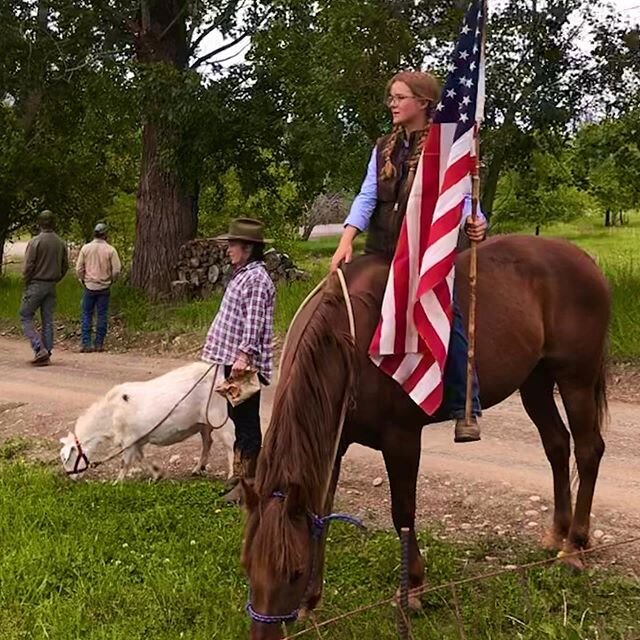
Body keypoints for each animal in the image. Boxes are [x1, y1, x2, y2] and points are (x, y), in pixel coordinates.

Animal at [59, 362, 235, 482]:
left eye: (66, 458)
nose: (72, 479)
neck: (110, 413)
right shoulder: (136, 440)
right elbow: (140, 458)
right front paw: (157, 473)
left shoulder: (128, 440)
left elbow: (125, 462)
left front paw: (117, 483)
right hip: (204, 422)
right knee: (207, 441)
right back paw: (198, 468)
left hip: (219, 416)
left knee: (229, 443)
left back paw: (232, 475)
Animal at [241, 236, 608, 640]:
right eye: (247, 566)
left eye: (293, 572)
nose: (262, 635)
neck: (352, 344)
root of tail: (582, 259)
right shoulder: (332, 443)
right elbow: (321, 509)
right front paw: (312, 602)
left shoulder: (401, 439)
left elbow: (402, 512)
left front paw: (413, 589)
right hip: (535, 382)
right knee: (556, 445)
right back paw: (556, 535)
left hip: (576, 379)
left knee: (588, 451)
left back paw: (574, 548)